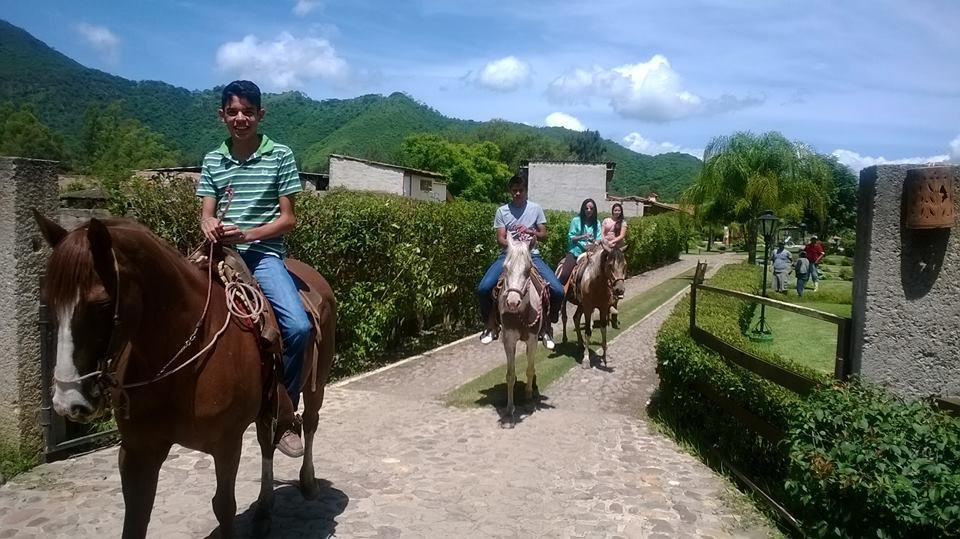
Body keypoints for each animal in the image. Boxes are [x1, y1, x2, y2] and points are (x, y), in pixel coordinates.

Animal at [33, 213, 336, 536]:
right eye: (48, 300)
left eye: (101, 304)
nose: (67, 401)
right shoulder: (138, 451)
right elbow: (136, 517)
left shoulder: (227, 444)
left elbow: (224, 506)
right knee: (267, 441)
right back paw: (265, 510)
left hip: (315, 386)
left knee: (310, 423)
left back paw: (308, 481)